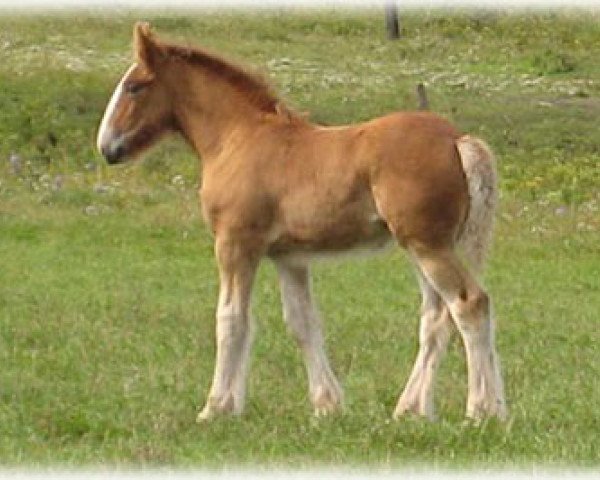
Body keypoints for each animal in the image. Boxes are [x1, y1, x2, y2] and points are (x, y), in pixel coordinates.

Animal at [97, 22, 506, 422]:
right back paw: (412, 409)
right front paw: (327, 405)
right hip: (424, 246)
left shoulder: (235, 243)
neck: (237, 139)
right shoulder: (289, 257)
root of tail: (457, 139)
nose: (107, 148)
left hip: (428, 246)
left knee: (469, 304)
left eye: (134, 86)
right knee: (436, 318)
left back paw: (482, 411)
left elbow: (231, 319)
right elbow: (302, 323)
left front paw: (216, 408)